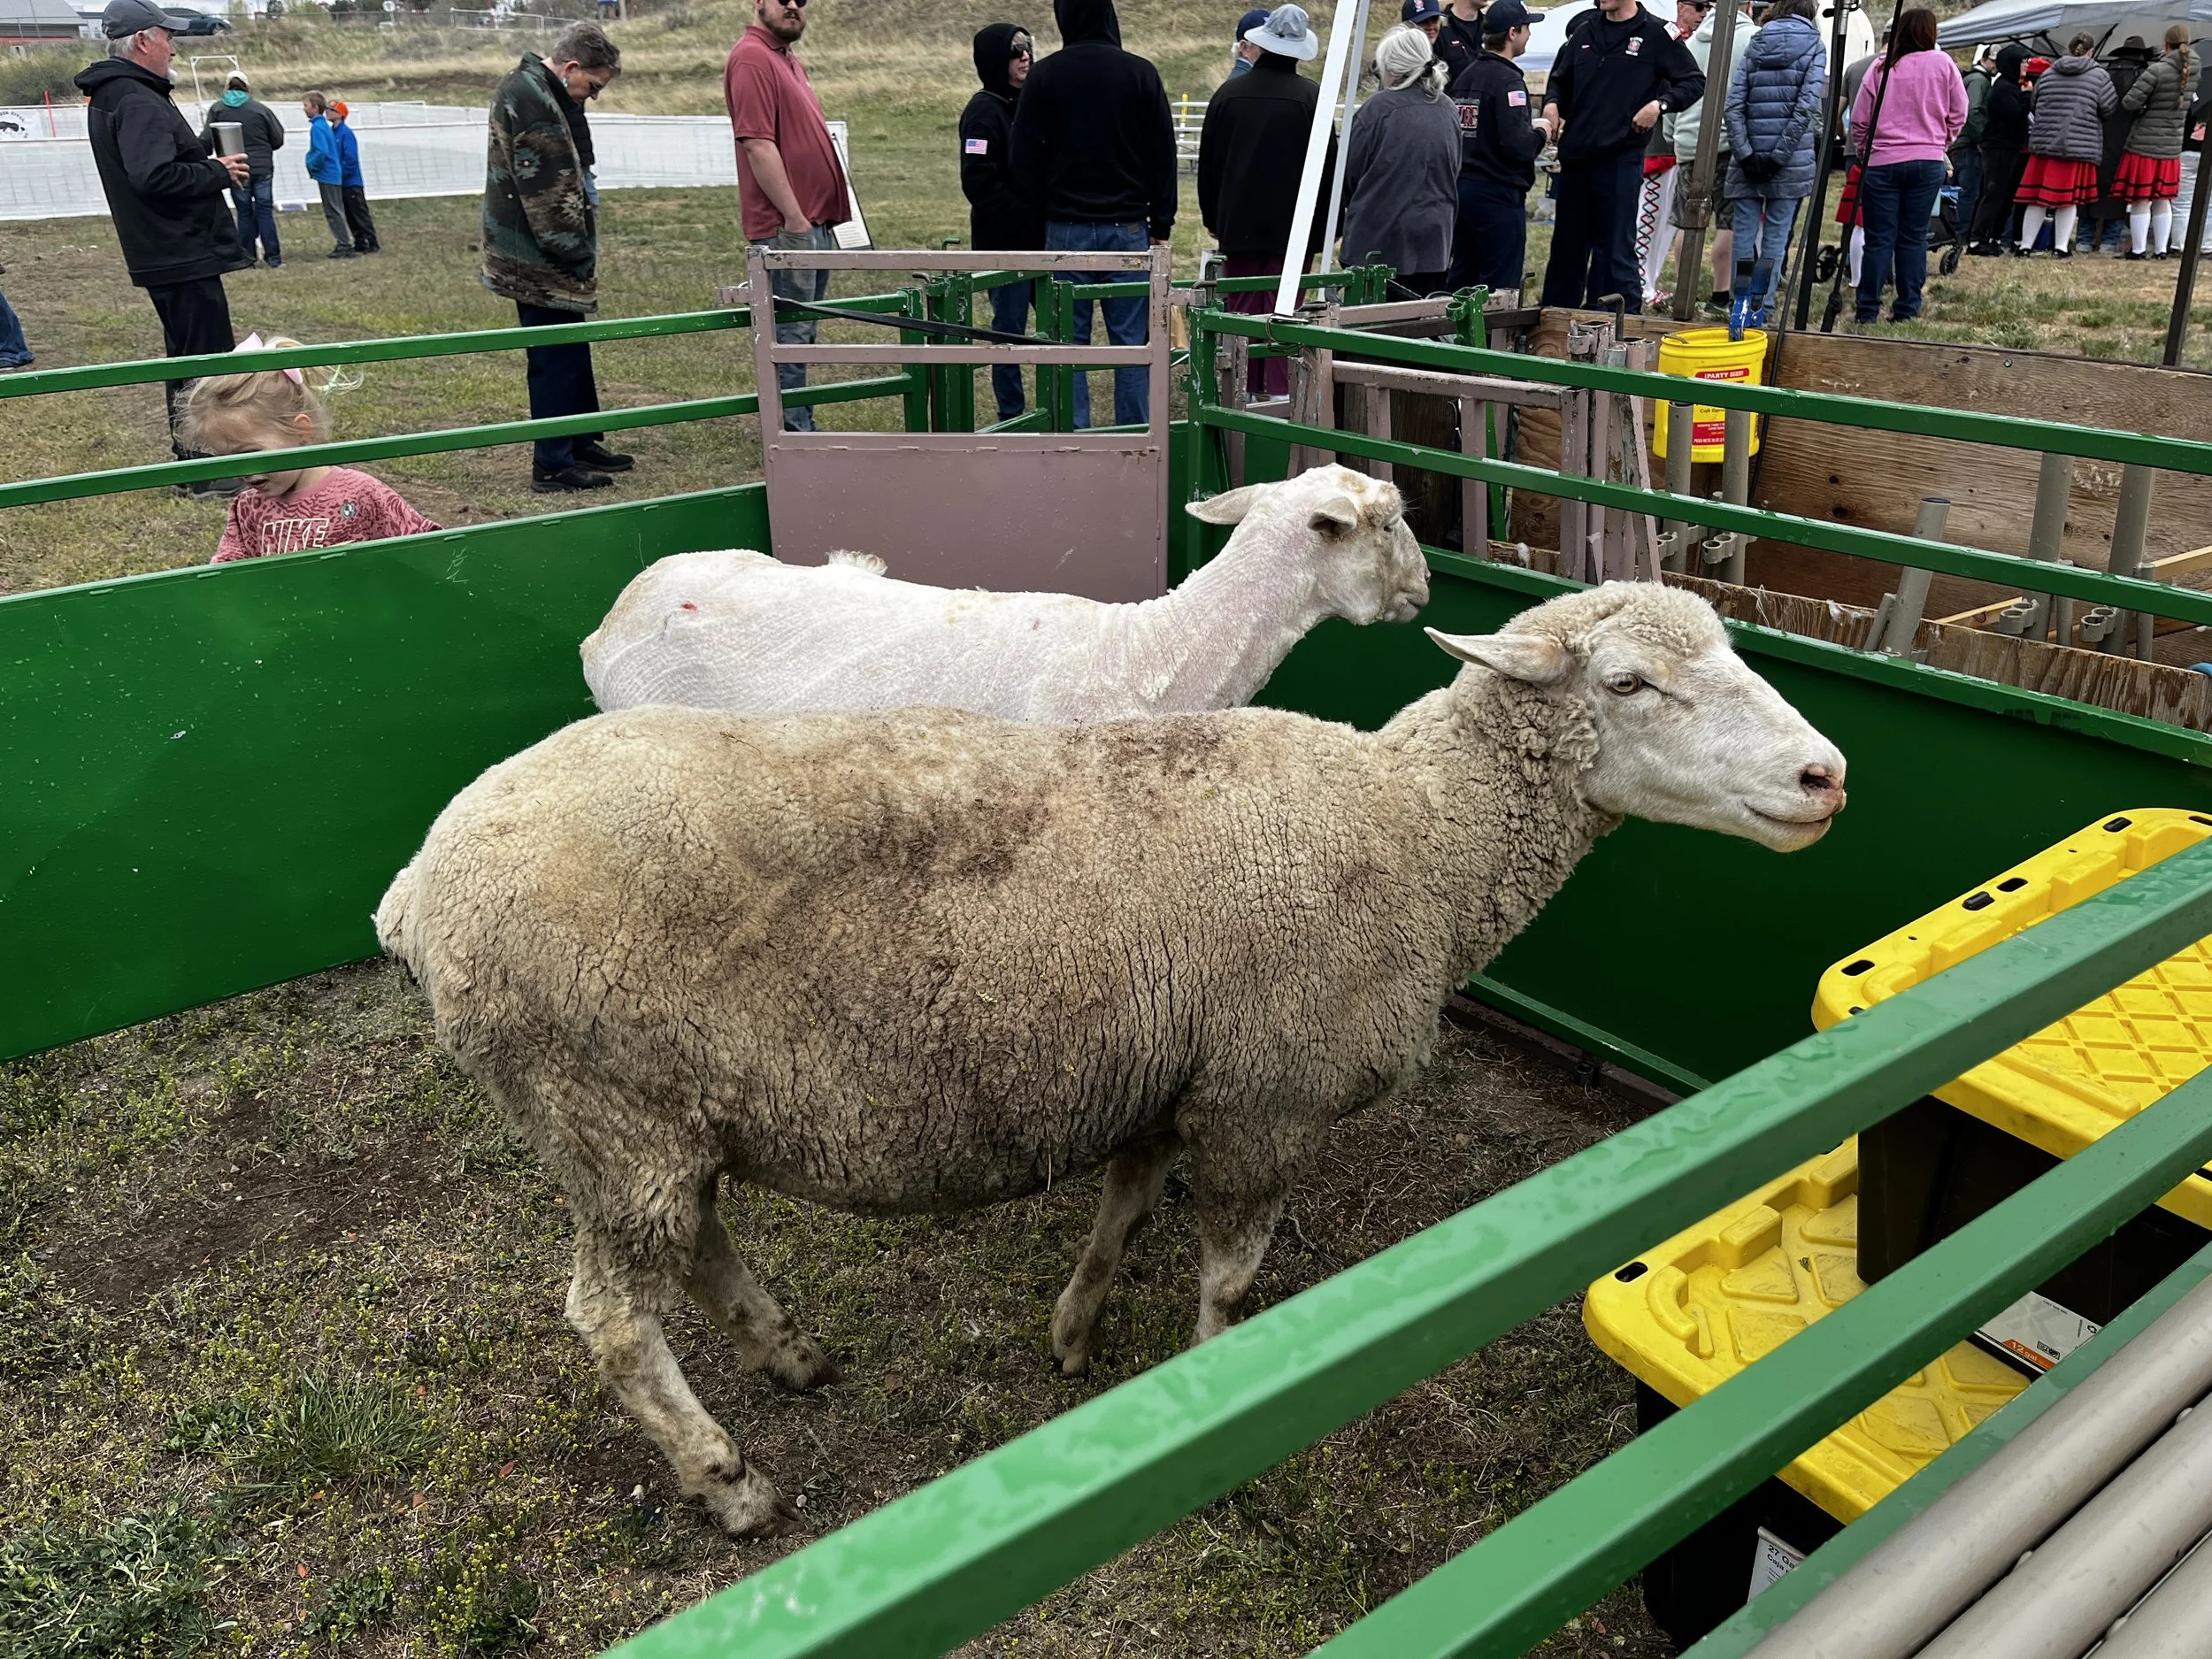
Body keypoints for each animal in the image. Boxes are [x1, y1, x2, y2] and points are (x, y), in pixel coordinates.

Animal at [376, 581, 1845, 1537]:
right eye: (1629, 682)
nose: (1827, 775)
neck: (1414, 834)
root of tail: (416, 883)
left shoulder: (1171, 1068)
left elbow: (1127, 1203)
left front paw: (1077, 1336)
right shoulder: (1267, 1099)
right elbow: (1231, 1280)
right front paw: (1224, 1429)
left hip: (655, 1121)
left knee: (700, 1250)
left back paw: (793, 1356)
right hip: (604, 1109)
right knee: (614, 1319)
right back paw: (732, 1480)